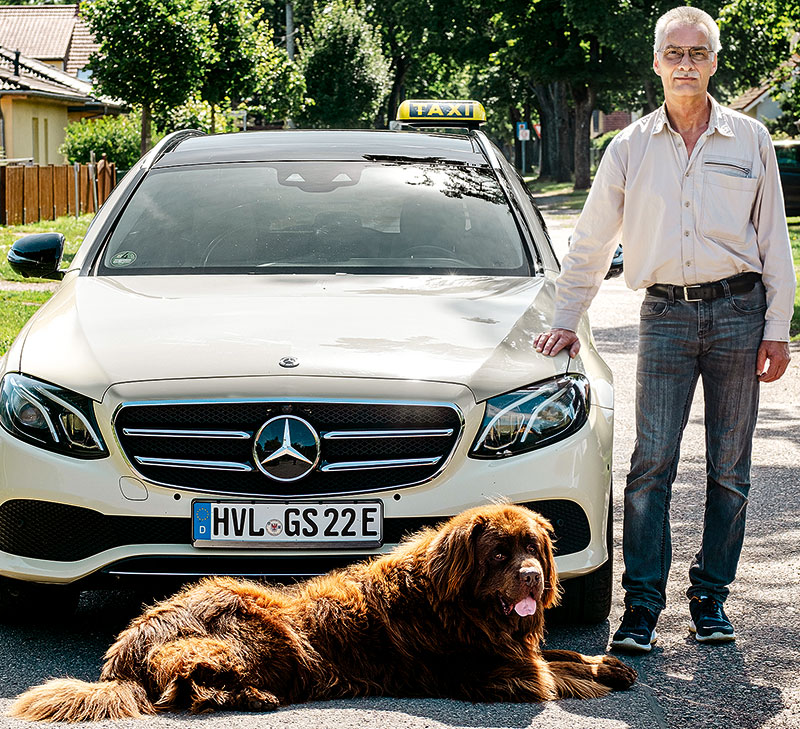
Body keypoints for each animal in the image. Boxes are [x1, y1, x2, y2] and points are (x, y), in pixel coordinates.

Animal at [9, 504, 636, 720]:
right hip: (260, 628)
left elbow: (559, 651)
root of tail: (124, 650)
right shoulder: (497, 671)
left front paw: (609, 663)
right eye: (500, 553)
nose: (532, 576)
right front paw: (595, 674)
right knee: (180, 675)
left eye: (534, 548)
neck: (460, 604)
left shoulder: (513, 647)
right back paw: (234, 694)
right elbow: (550, 672)